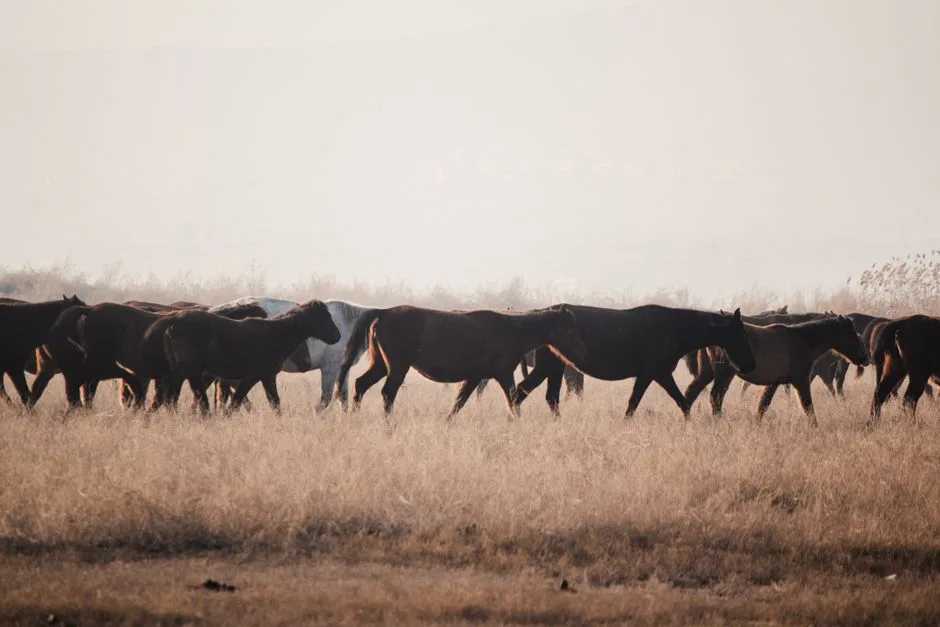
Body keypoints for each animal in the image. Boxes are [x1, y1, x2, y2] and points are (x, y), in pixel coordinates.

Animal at [155, 299, 341, 414]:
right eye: (324, 317)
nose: (337, 336)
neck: (276, 335)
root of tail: (172, 323)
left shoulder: (266, 377)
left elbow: (274, 402)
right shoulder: (254, 377)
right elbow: (238, 401)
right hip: (187, 370)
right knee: (168, 388)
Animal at [334, 305, 589, 418]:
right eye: (570, 332)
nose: (582, 355)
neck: (512, 330)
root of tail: (383, 312)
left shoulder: (474, 377)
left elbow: (459, 402)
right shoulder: (504, 374)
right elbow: (513, 400)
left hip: (380, 365)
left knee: (360, 384)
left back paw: (354, 417)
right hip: (397, 367)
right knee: (387, 393)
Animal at [510, 304, 756, 419]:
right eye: (742, 333)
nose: (750, 365)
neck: (675, 329)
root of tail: (539, 312)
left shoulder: (656, 375)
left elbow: (680, 402)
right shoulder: (654, 373)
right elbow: (635, 403)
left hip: (554, 366)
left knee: (547, 396)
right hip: (548, 366)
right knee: (521, 391)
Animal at [685, 315, 868, 426]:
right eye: (851, 334)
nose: (864, 358)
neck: (802, 340)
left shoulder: (773, 383)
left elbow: (763, 405)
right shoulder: (801, 380)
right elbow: (807, 406)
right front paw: (815, 427)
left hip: (706, 374)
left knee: (690, 394)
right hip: (724, 375)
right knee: (715, 397)